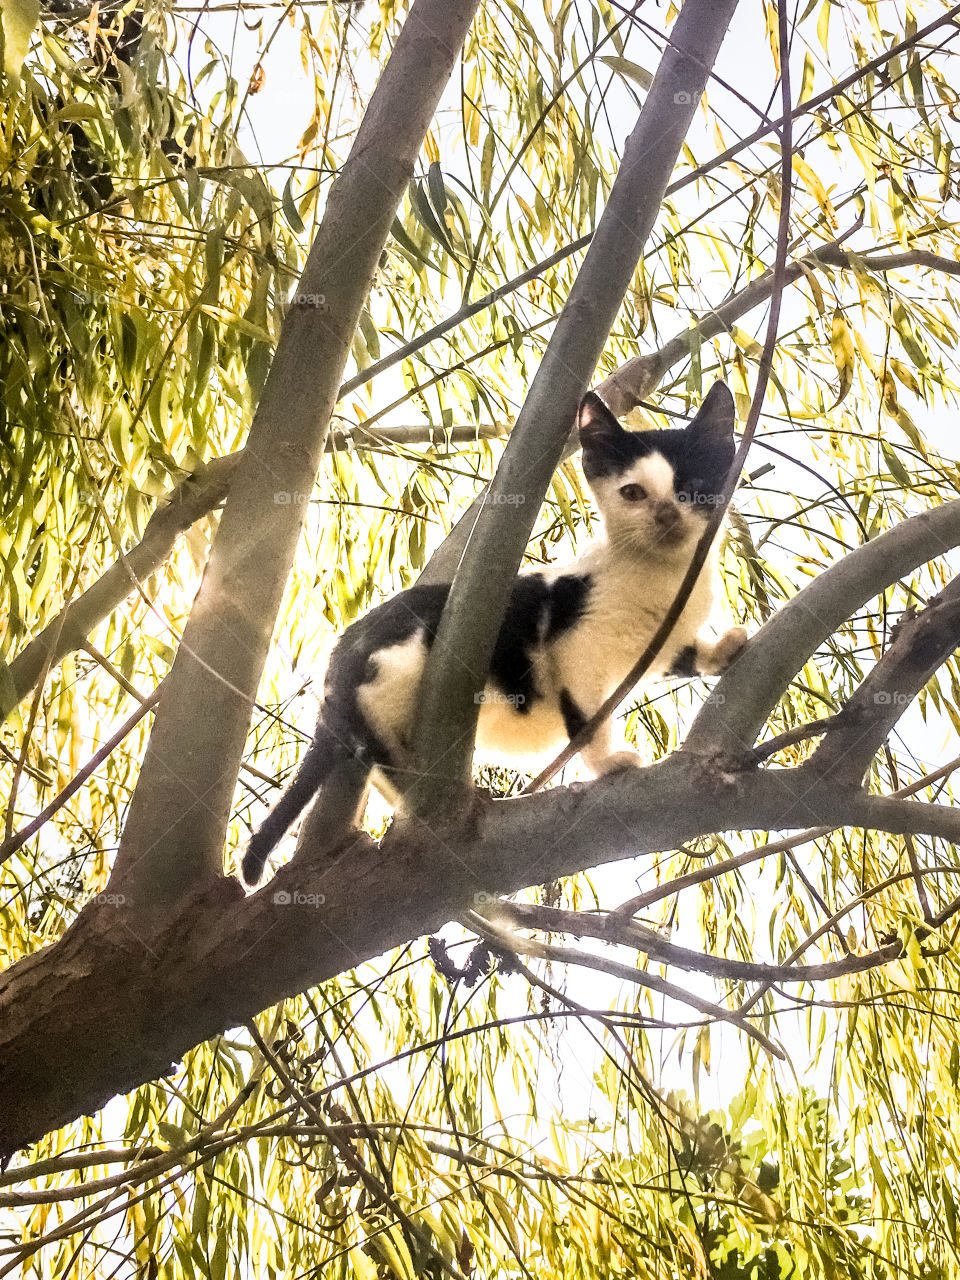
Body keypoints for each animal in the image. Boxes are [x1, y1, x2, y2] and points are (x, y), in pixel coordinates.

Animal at [239, 378, 742, 885]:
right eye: (633, 492)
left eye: (694, 489)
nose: (666, 515)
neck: (663, 581)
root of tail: (340, 653)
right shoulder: (575, 642)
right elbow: (586, 716)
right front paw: (607, 764)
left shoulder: (661, 641)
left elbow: (682, 654)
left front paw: (722, 650)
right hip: (392, 677)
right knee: (389, 760)